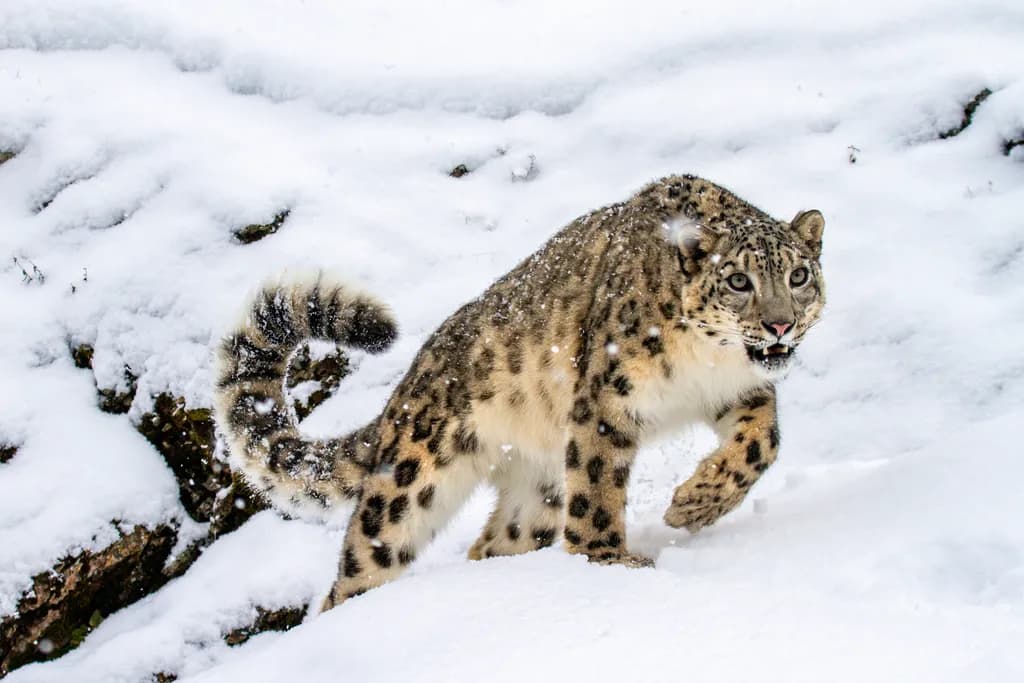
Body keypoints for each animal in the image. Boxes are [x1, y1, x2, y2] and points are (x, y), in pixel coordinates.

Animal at [213, 174, 826, 612]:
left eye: (798, 276)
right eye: (738, 280)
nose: (779, 325)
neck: (708, 363)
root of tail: (406, 389)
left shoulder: (740, 392)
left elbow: (761, 444)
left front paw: (694, 505)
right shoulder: (605, 401)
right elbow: (598, 488)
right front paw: (609, 562)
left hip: (536, 496)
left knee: (490, 542)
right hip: (408, 487)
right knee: (358, 570)